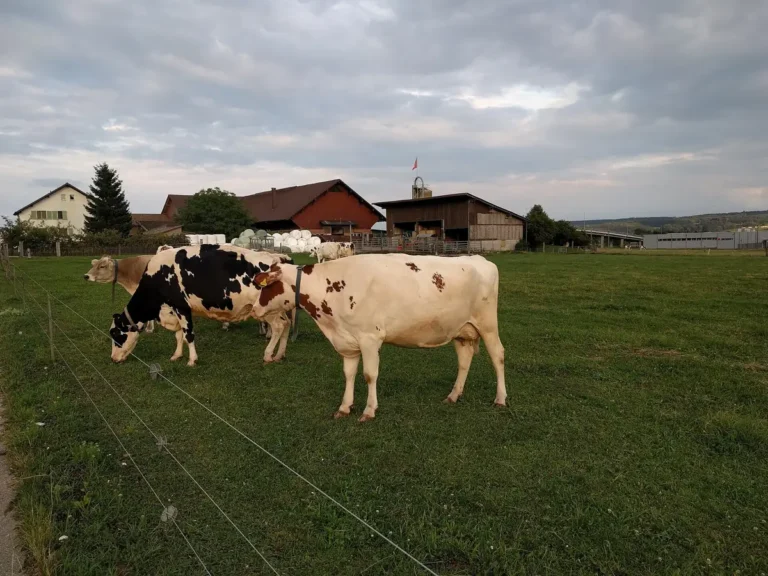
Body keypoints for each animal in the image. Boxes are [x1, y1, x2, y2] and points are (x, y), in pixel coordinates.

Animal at [109, 245, 293, 366]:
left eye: (116, 334)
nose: (113, 358)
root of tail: (277, 259)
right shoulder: (174, 310)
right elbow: (179, 335)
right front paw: (176, 355)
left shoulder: (181, 307)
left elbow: (188, 335)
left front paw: (192, 360)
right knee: (287, 324)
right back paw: (280, 354)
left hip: (267, 310)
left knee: (279, 326)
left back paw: (268, 355)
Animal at [250, 253, 506, 422]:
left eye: (265, 287)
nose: (253, 309)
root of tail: (479, 259)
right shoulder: (348, 340)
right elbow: (349, 374)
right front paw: (345, 407)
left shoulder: (370, 338)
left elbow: (369, 375)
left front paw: (369, 410)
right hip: (461, 331)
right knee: (464, 361)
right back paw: (453, 395)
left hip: (488, 325)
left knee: (498, 357)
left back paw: (500, 399)